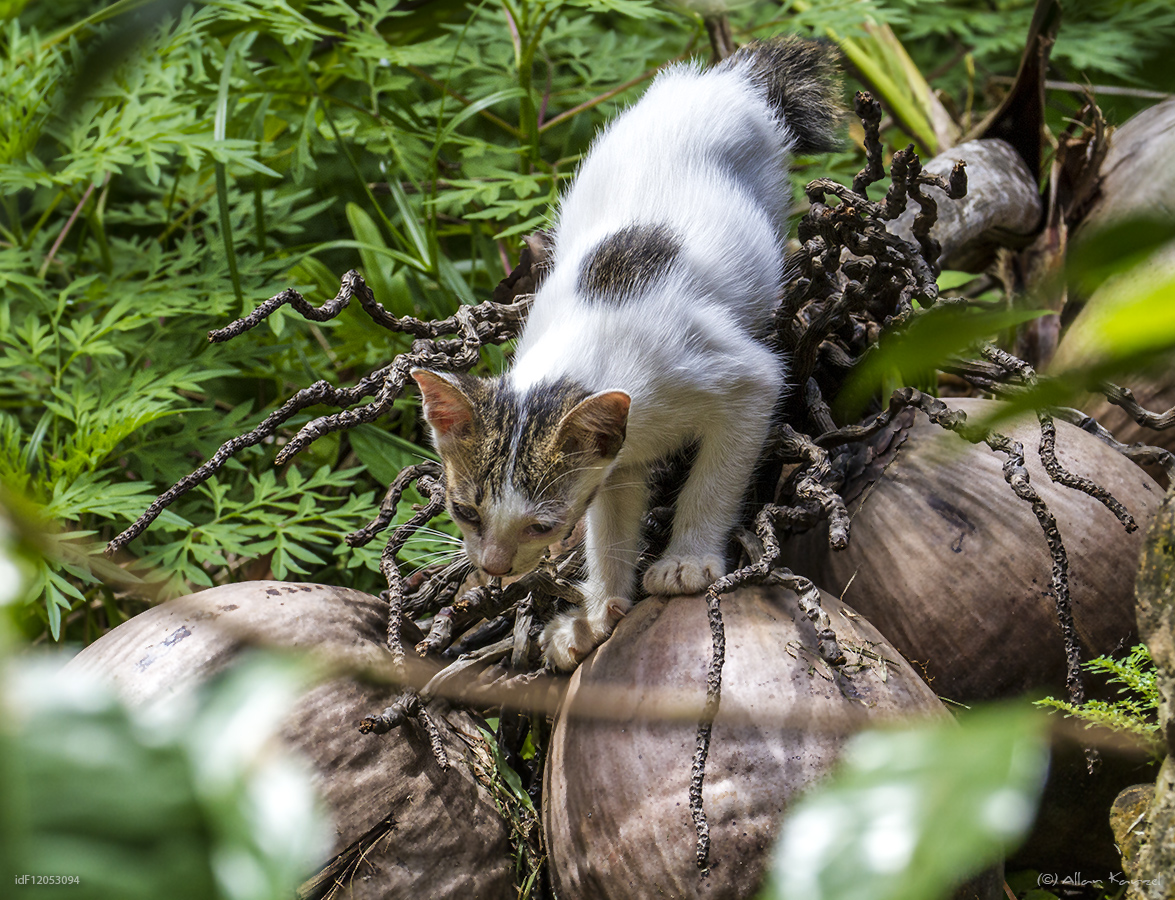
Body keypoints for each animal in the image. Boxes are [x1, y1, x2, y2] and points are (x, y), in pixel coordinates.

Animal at [408, 37, 841, 667]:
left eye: (543, 526)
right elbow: (610, 519)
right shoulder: (617, 456)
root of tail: (724, 79)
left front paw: (686, 561)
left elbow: (718, 471)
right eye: (465, 511)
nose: (493, 568)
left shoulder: (742, 379)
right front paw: (595, 614)